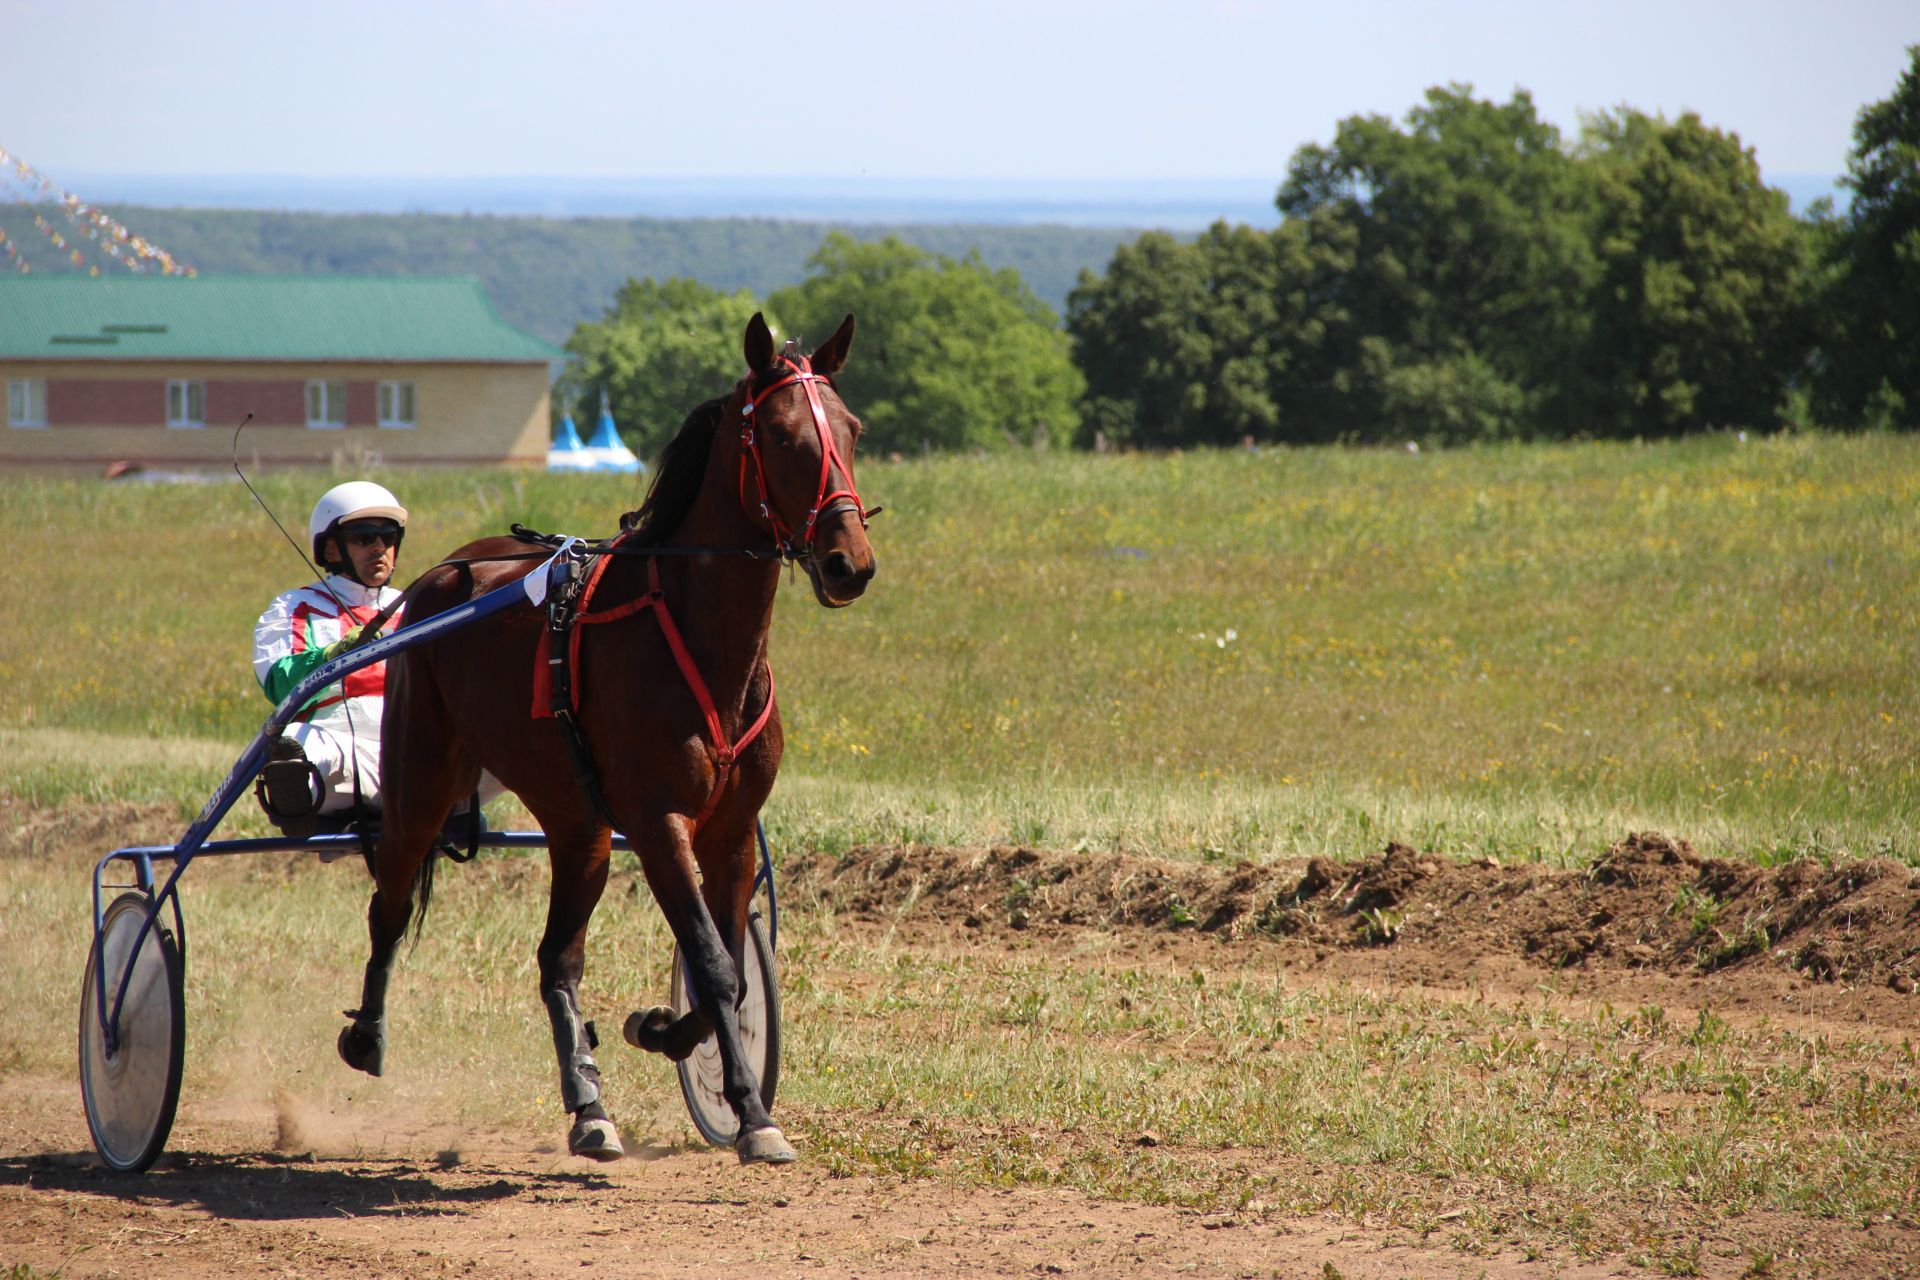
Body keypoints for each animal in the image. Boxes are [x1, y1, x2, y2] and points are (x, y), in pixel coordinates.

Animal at [343, 310, 879, 1159]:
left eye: (852, 430)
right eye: (783, 435)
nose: (847, 563)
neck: (701, 641)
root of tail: (447, 572)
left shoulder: (730, 829)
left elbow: (726, 964)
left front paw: (677, 1040)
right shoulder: (660, 822)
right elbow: (715, 965)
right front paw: (743, 1106)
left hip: (578, 825)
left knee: (557, 960)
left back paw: (588, 1102)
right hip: (419, 779)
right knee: (389, 902)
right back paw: (366, 1035)